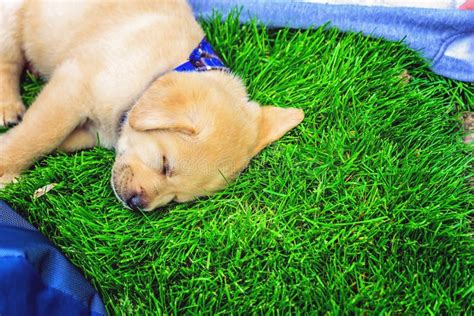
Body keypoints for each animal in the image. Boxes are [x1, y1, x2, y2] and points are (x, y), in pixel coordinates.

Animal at [0, 0, 304, 212]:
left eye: (178, 198)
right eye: (164, 164)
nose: (137, 204)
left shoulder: (91, 127)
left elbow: (58, 142)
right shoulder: (72, 87)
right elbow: (37, 137)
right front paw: (5, 168)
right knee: (9, 59)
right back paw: (7, 105)